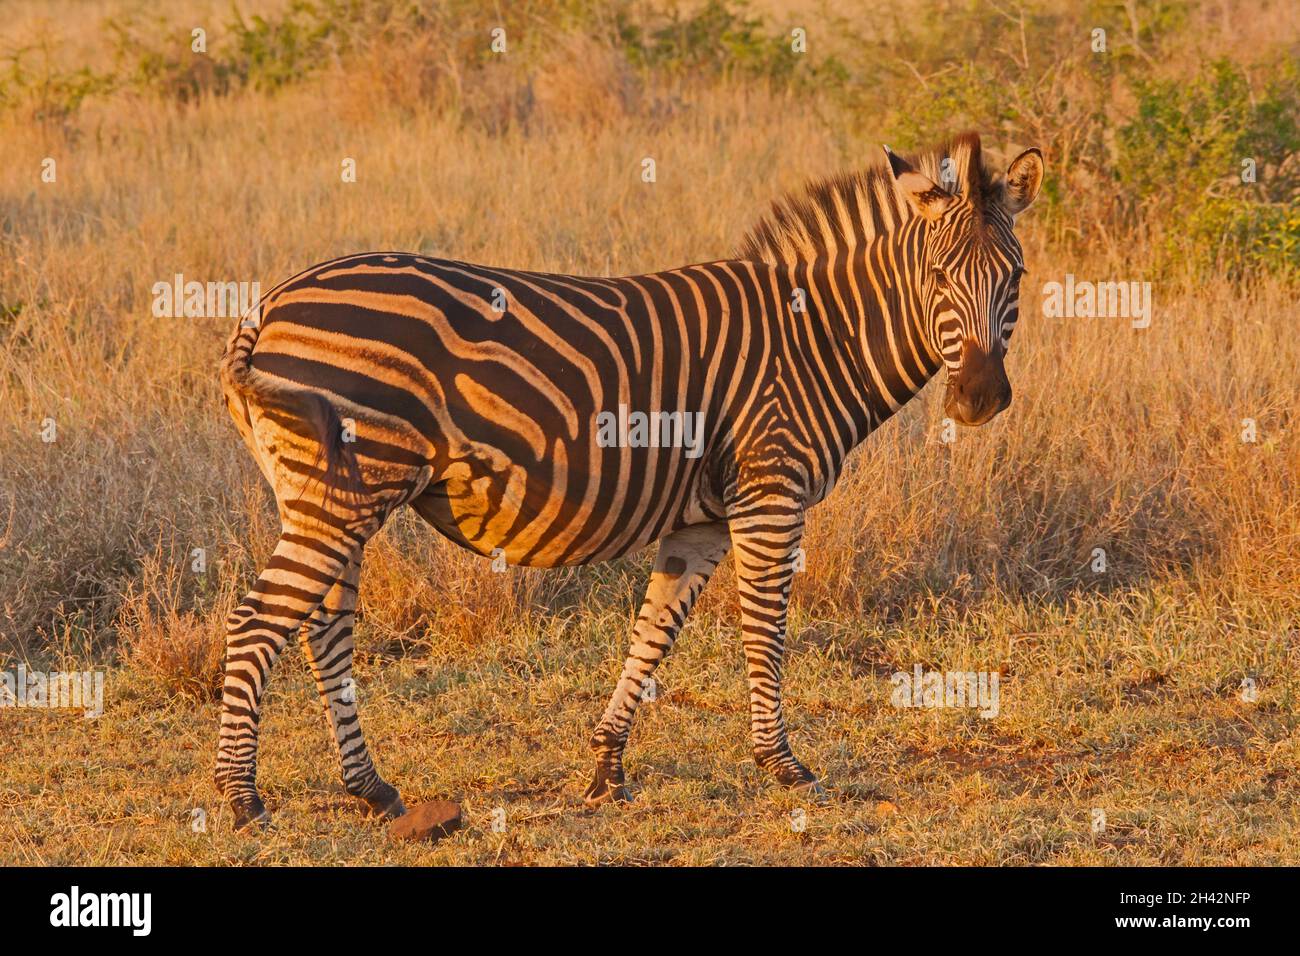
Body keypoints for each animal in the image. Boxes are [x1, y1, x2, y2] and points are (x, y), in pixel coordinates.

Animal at [214, 131, 1043, 828]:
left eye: (1017, 276)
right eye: (936, 276)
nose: (979, 399)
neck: (817, 338)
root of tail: (267, 307)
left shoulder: (701, 521)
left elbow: (653, 633)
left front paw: (607, 767)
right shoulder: (769, 491)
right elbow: (765, 628)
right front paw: (782, 764)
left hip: (330, 497)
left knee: (322, 626)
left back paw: (371, 789)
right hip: (343, 496)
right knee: (260, 619)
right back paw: (241, 798)